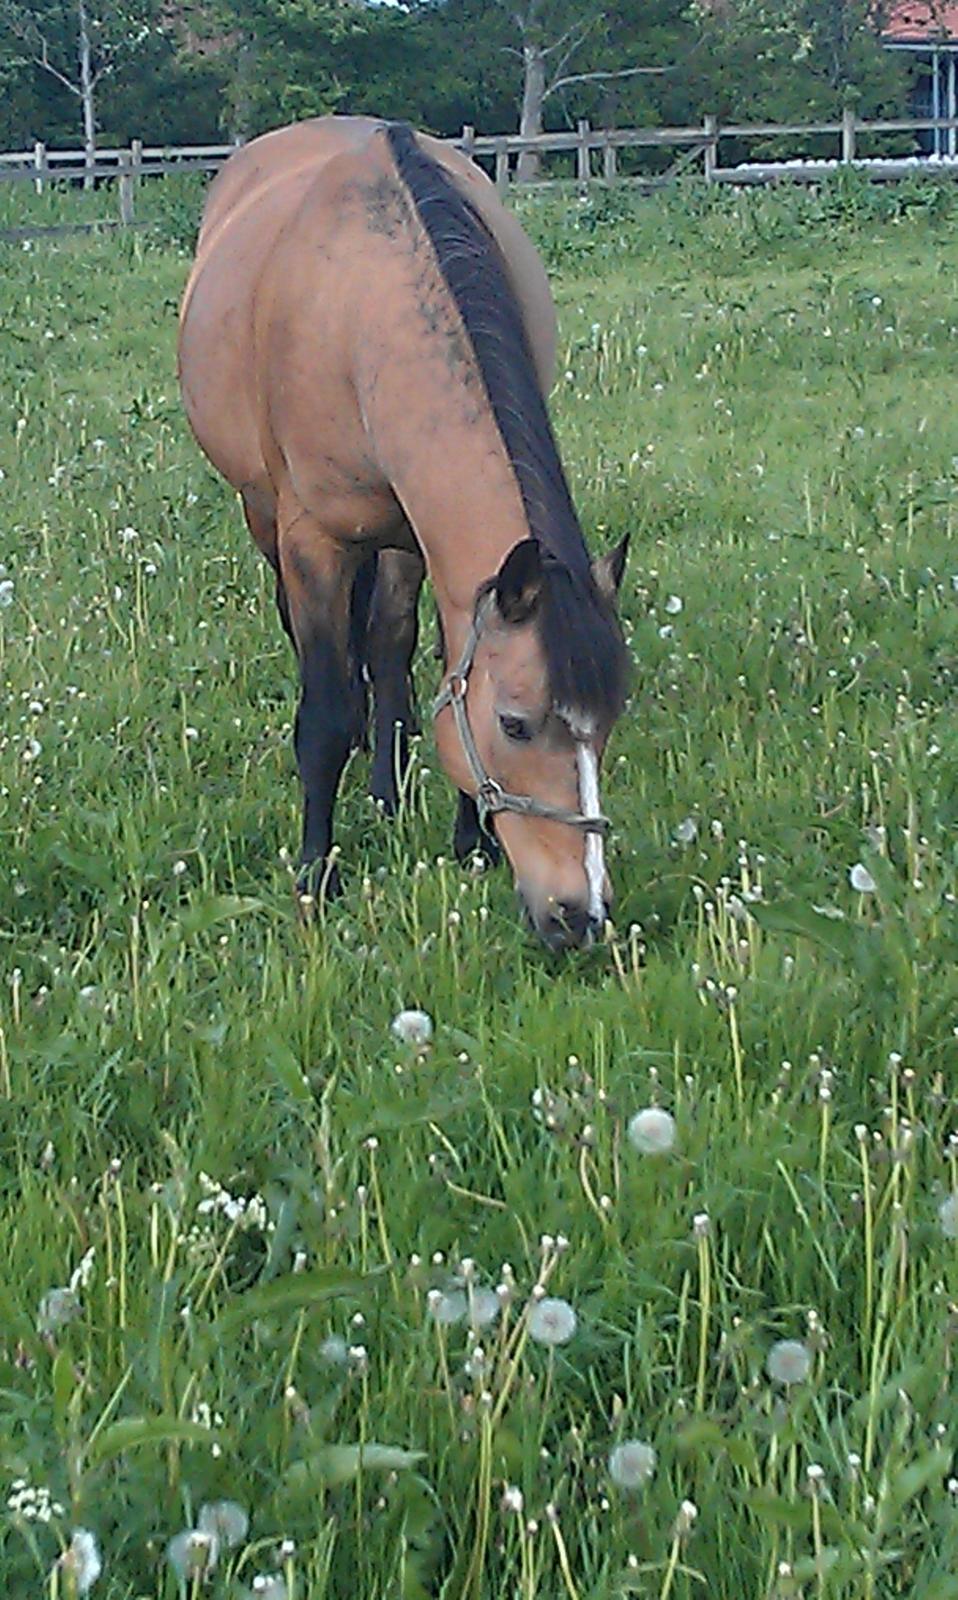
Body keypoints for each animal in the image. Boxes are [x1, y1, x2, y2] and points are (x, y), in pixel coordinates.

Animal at [179, 121, 630, 960]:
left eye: (609, 723)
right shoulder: (313, 539)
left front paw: (467, 839)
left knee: (385, 645)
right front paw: (315, 877)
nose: (579, 916)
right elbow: (324, 712)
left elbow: (418, 653)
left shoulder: (422, 539)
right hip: (263, 512)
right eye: (516, 724)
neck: (365, 314)